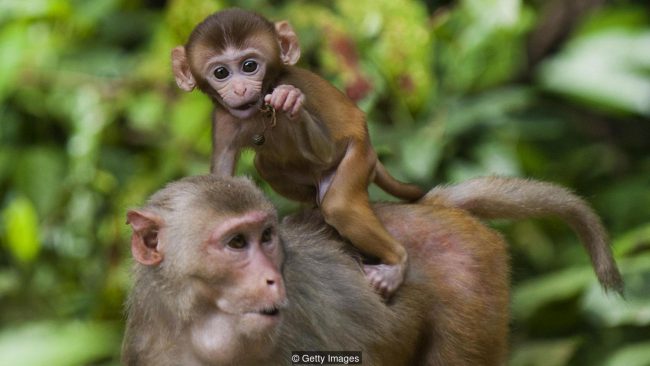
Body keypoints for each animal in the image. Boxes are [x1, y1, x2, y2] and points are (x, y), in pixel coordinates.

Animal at [123, 176, 624, 364]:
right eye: (235, 243)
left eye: (266, 236)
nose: (273, 278)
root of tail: (428, 208)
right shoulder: (149, 345)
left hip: (470, 276)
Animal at [170, 7, 422, 298]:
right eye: (221, 72)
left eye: (249, 66)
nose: (240, 89)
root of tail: (370, 146)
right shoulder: (224, 120)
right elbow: (223, 177)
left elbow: (326, 151)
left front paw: (291, 101)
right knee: (266, 165)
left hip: (359, 157)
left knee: (340, 205)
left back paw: (397, 262)